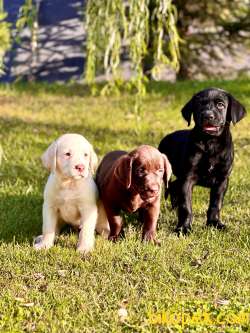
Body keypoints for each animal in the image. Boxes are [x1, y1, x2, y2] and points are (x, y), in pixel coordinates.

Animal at [158, 88, 246, 233]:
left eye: (220, 105)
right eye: (199, 104)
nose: (207, 115)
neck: (210, 143)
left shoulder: (222, 180)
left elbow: (216, 204)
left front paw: (214, 223)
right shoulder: (187, 178)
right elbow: (186, 206)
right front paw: (184, 228)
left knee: (174, 186)